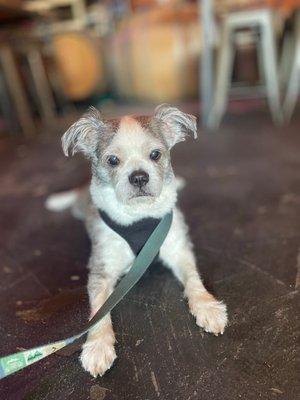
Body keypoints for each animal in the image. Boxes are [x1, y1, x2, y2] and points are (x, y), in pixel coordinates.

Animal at [46, 104, 227, 378]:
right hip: (80, 205)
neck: (139, 215)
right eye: (112, 160)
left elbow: (193, 279)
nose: (139, 177)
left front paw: (207, 306)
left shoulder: (178, 249)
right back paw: (57, 201)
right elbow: (99, 309)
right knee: (74, 196)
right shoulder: (102, 269)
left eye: (155, 155)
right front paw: (98, 346)